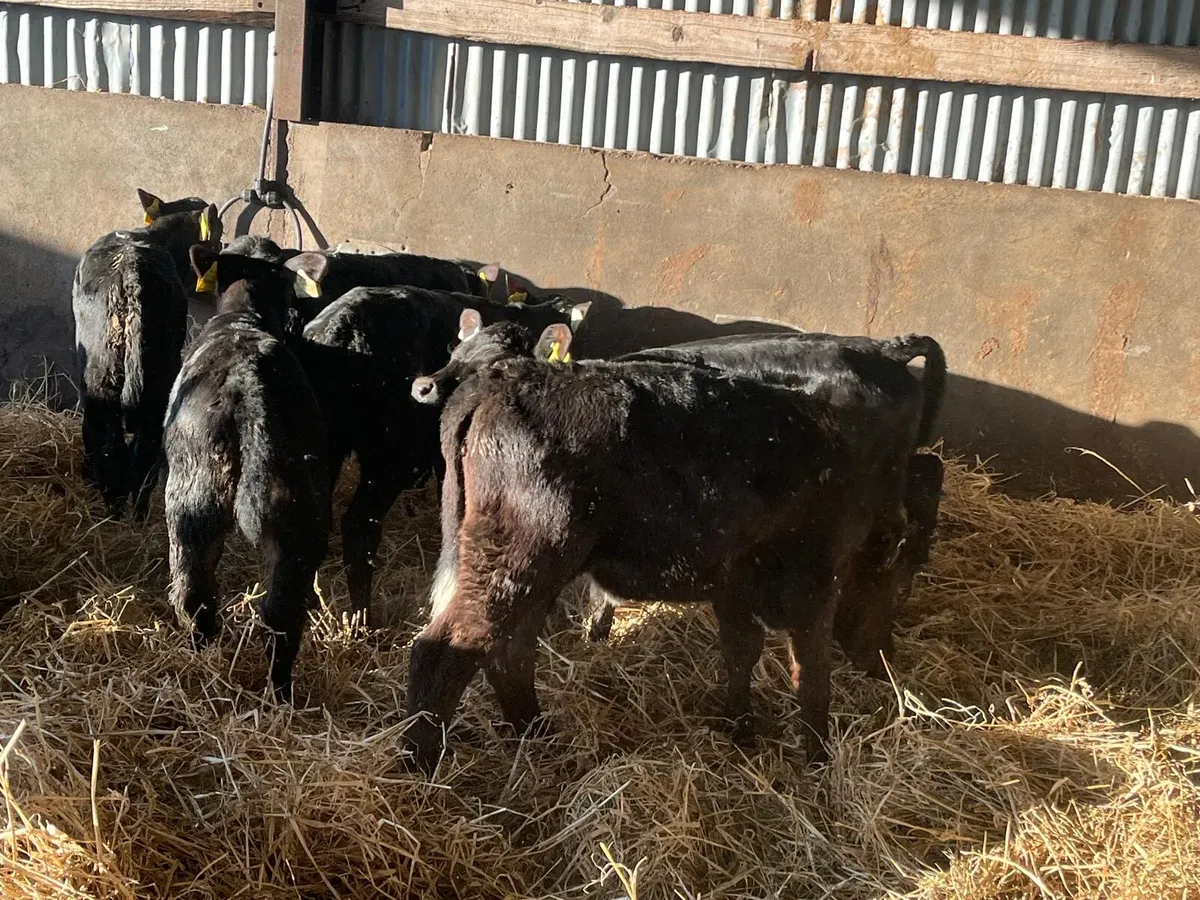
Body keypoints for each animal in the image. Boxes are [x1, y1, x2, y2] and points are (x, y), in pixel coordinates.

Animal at [74, 200, 221, 519]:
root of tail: (131, 274)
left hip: (102, 379)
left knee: (110, 445)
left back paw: (115, 511)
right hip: (156, 382)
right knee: (144, 452)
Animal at [164, 246, 330, 701]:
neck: (244, 316)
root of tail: (247, 386)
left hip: (190, 498)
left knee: (194, 591)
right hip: (296, 511)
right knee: (280, 613)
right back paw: (280, 694)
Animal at [405, 322, 919, 773]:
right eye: (895, 574)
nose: (884, 658)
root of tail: (502, 380)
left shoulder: (733, 583)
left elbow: (740, 653)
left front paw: (740, 730)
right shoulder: (814, 584)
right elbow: (811, 676)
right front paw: (817, 761)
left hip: (531, 571)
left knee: (509, 652)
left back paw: (537, 734)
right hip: (519, 561)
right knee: (441, 651)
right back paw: (420, 767)